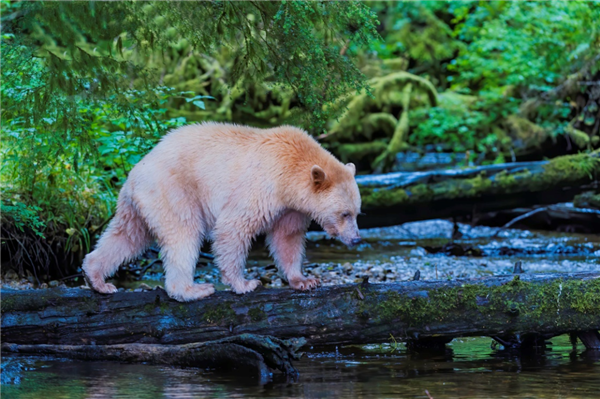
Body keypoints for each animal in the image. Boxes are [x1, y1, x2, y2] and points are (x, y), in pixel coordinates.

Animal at [81, 122, 360, 304]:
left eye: (357, 212)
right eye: (345, 213)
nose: (356, 239)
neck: (289, 170)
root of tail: (136, 172)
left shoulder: (291, 207)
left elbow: (287, 237)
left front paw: (304, 280)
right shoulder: (262, 186)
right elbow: (233, 228)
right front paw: (245, 284)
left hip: (138, 205)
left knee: (127, 236)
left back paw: (97, 278)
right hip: (173, 192)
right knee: (183, 235)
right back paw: (193, 290)